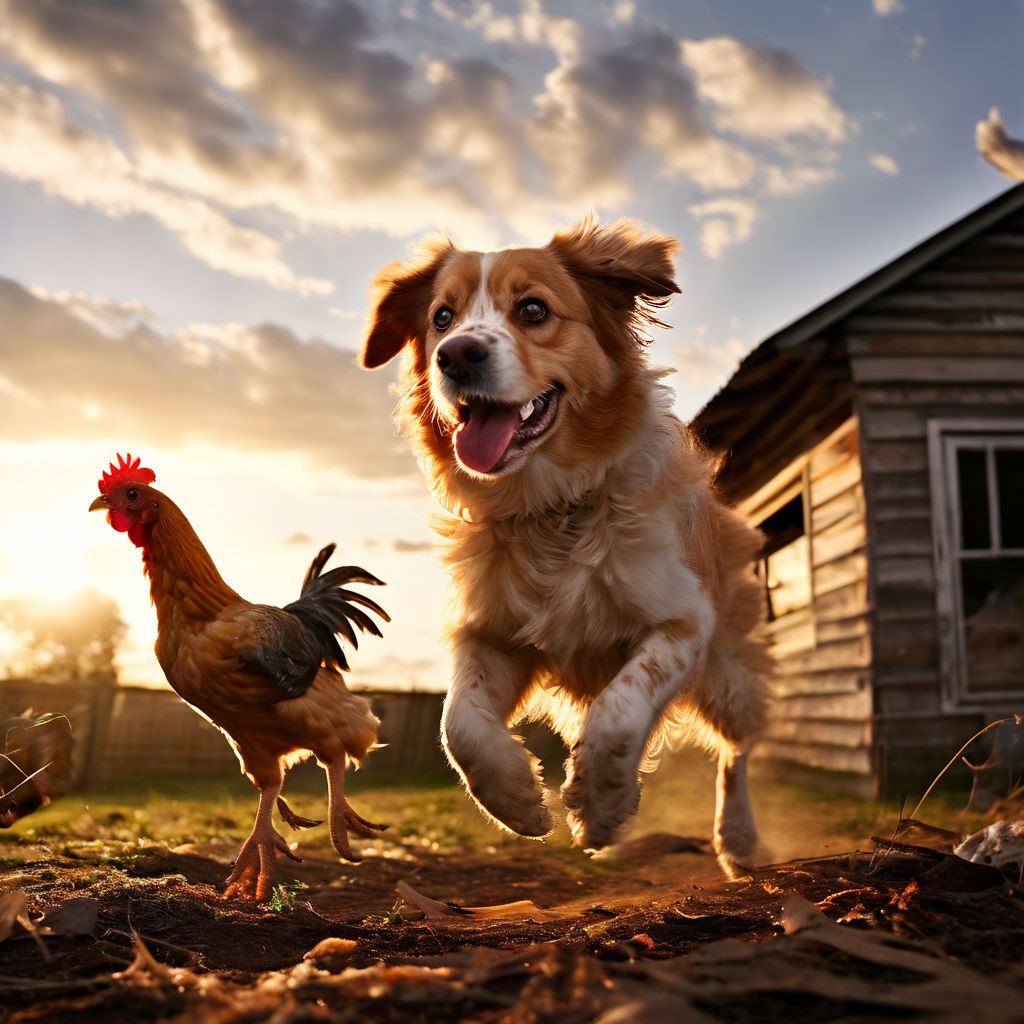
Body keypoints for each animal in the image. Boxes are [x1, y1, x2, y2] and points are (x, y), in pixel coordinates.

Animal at [360, 218, 770, 872]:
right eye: (442, 317)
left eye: (533, 309)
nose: (456, 355)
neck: (554, 508)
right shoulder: (491, 633)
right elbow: (460, 726)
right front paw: (518, 802)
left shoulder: (682, 622)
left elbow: (621, 710)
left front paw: (600, 807)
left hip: (726, 675)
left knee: (737, 750)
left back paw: (737, 839)